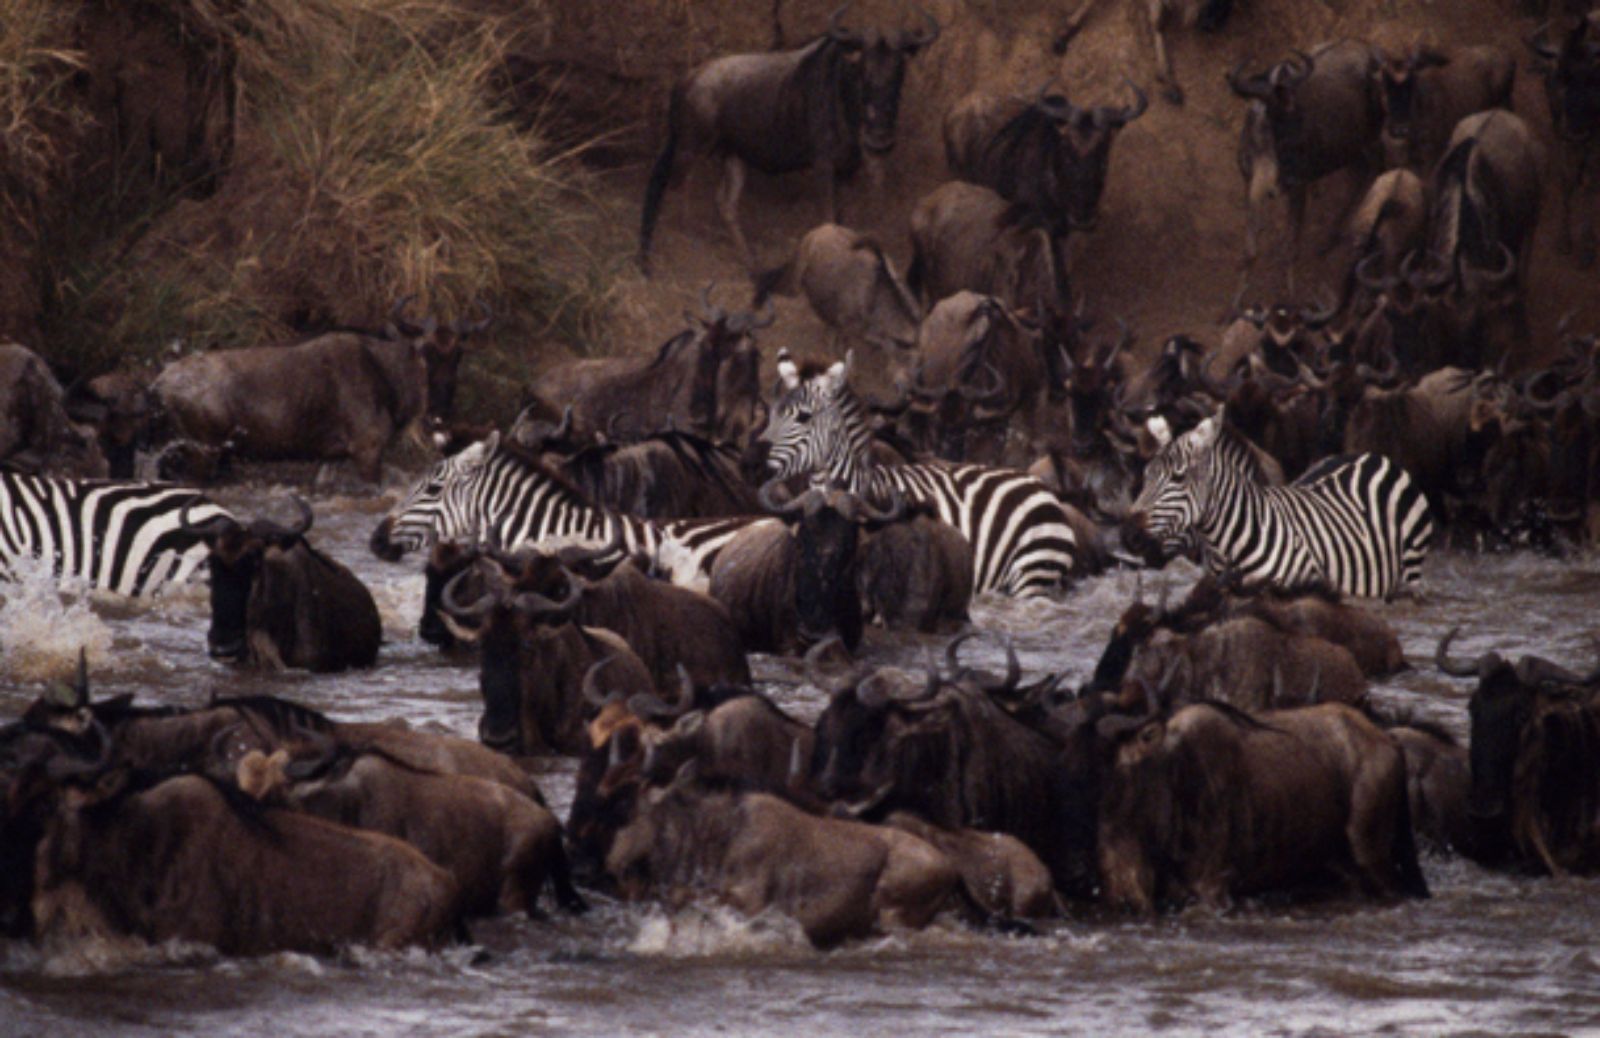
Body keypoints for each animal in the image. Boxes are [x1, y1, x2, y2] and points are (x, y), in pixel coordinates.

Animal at [1132, 406, 1433, 598]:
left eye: (1178, 477)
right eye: (1145, 475)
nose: (1129, 536)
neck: (1227, 544)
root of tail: (1372, 456)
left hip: (1412, 570)